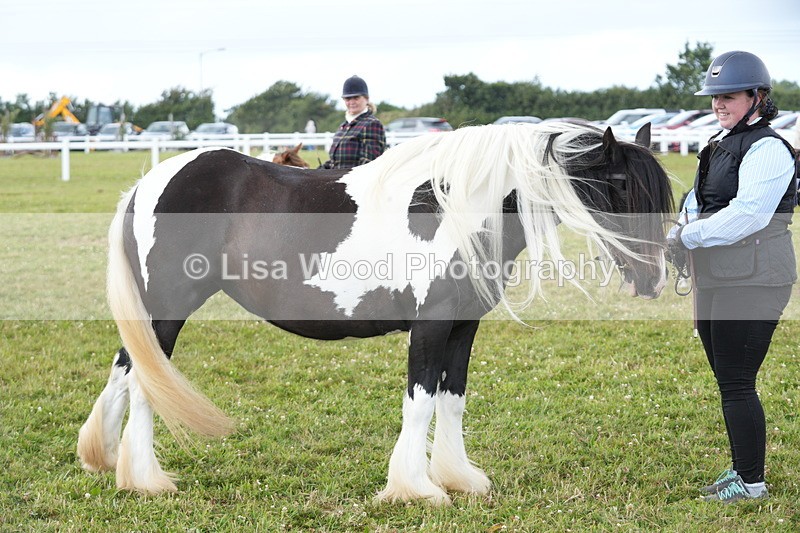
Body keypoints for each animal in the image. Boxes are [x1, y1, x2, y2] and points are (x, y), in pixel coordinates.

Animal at [77, 122, 673, 504]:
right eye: (621, 185)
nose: (652, 278)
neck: (456, 208)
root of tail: (148, 184)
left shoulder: (464, 327)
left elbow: (452, 401)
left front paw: (458, 479)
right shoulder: (431, 325)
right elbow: (421, 401)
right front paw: (415, 489)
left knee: (125, 370)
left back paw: (105, 460)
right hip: (167, 310)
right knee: (144, 382)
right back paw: (146, 480)